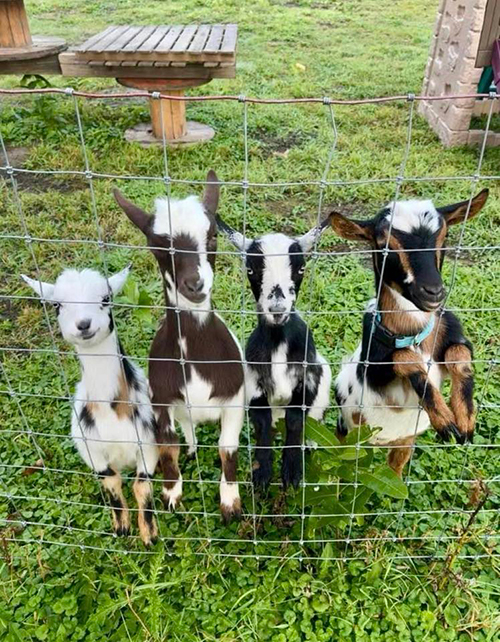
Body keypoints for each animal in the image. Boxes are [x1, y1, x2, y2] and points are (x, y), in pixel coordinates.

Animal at [21, 267, 159, 545]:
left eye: (106, 298)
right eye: (57, 304)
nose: (83, 324)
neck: (110, 411)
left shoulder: (148, 443)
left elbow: (142, 486)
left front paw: (149, 535)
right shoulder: (90, 450)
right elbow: (111, 482)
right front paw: (121, 527)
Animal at [113, 171, 244, 523]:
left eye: (212, 237)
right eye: (159, 246)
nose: (195, 285)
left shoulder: (234, 401)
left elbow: (227, 448)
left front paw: (230, 503)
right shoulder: (161, 401)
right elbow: (167, 447)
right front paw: (171, 493)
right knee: (186, 429)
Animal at [216, 217, 332, 490]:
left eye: (301, 269)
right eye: (250, 269)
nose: (277, 310)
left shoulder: (308, 377)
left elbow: (296, 419)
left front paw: (292, 470)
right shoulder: (253, 382)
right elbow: (262, 423)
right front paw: (262, 472)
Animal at [330, 189, 489, 476]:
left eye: (445, 236)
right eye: (383, 243)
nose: (433, 292)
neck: (414, 334)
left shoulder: (448, 332)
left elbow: (459, 352)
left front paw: (464, 418)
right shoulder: (373, 367)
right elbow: (402, 356)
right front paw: (445, 421)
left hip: (405, 441)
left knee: (395, 467)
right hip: (347, 433)